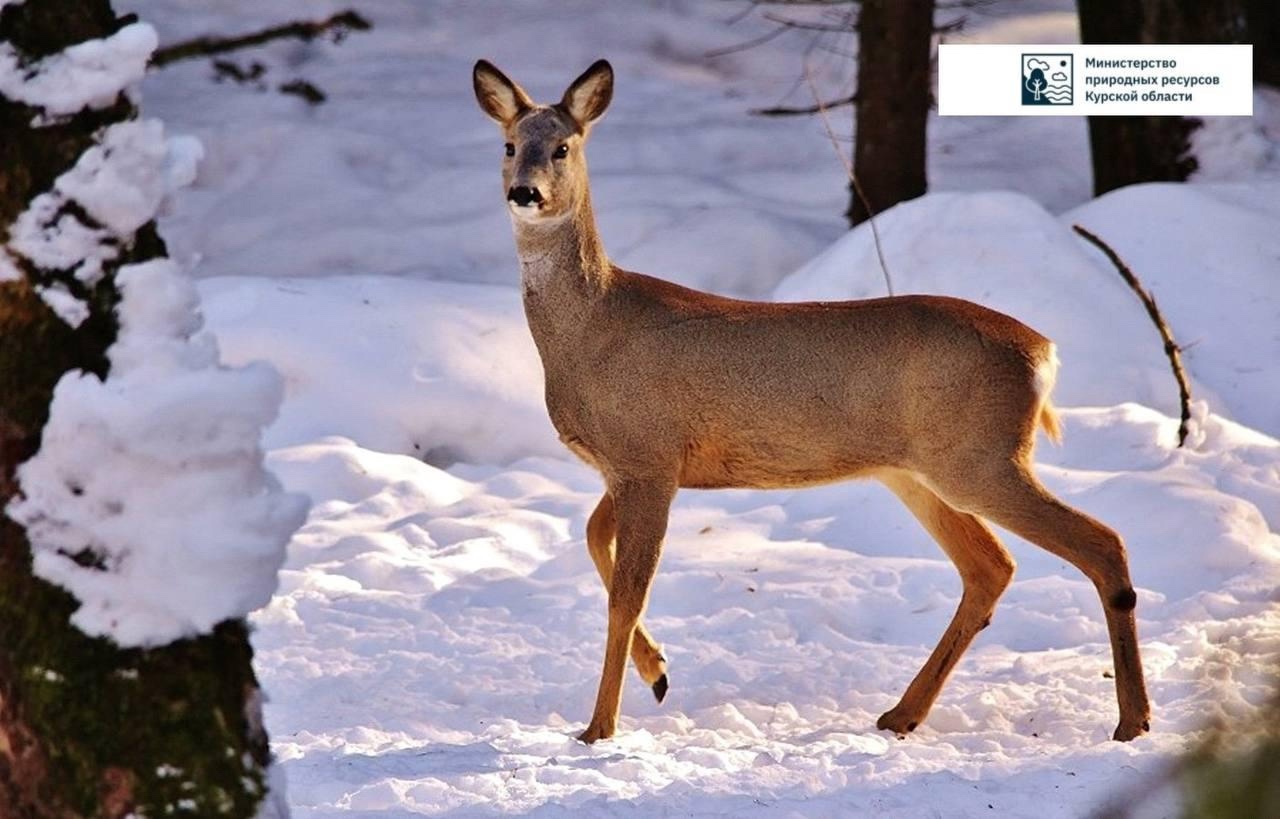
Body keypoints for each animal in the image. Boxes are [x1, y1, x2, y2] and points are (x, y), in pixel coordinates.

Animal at [471, 57, 1152, 747]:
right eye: (509, 146)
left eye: (562, 147)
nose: (525, 193)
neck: (591, 329)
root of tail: (1043, 351)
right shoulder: (633, 466)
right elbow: (592, 541)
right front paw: (658, 672)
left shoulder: (649, 457)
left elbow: (626, 594)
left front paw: (599, 728)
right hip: (917, 471)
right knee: (991, 567)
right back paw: (902, 714)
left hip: (981, 457)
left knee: (1102, 542)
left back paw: (1132, 720)